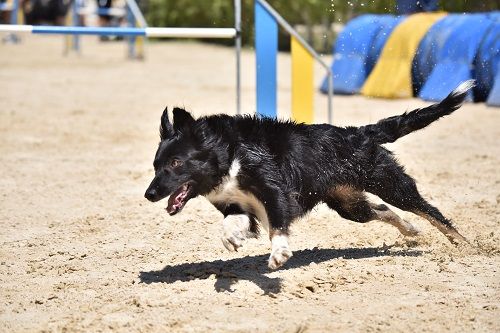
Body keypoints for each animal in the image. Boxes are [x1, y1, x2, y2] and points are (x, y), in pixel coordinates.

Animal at [146, 81, 472, 268]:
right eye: (155, 165)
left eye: (176, 162)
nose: (150, 194)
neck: (228, 155)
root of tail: (359, 133)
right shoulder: (238, 204)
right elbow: (231, 224)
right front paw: (233, 239)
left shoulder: (276, 192)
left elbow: (277, 227)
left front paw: (279, 254)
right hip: (348, 205)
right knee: (382, 210)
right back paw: (410, 230)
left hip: (390, 183)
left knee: (431, 212)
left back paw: (467, 245)